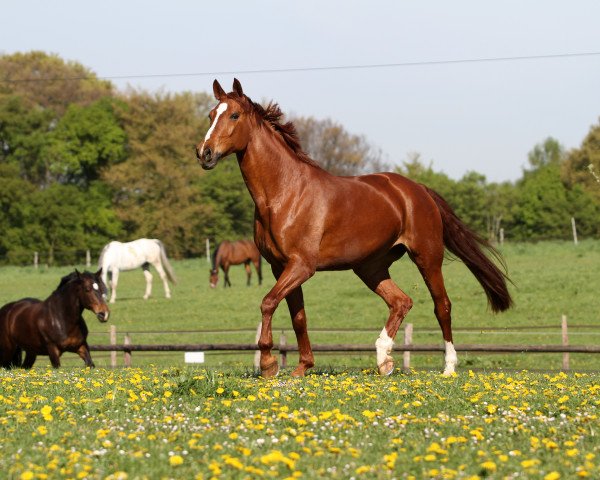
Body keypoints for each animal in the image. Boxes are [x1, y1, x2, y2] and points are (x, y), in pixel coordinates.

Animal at [196, 79, 510, 378]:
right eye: (211, 114)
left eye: (234, 115)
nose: (204, 153)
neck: (284, 194)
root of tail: (419, 190)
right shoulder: (280, 266)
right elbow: (298, 317)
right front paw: (302, 367)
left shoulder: (301, 265)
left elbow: (268, 302)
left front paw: (268, 364)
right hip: (370, 267)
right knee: (401, 302)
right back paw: (384, 360)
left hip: (427, 257)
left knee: (442, 306)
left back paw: (448, 367)